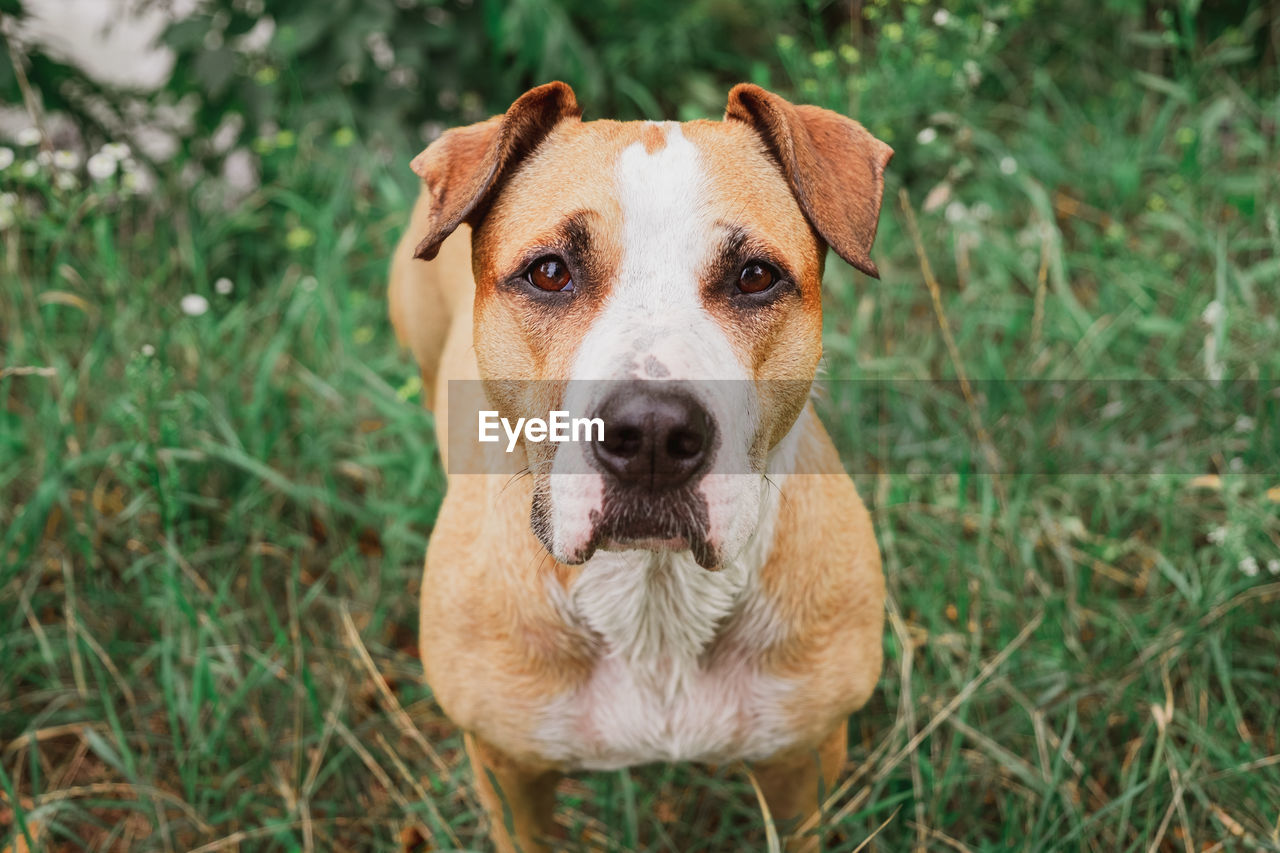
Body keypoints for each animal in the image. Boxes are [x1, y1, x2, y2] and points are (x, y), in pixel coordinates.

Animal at [386, 81, 890, 850]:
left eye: (755, 276)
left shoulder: (802, 765)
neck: (656, 595)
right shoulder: (507, 771)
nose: (652, 433)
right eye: (550, 272)